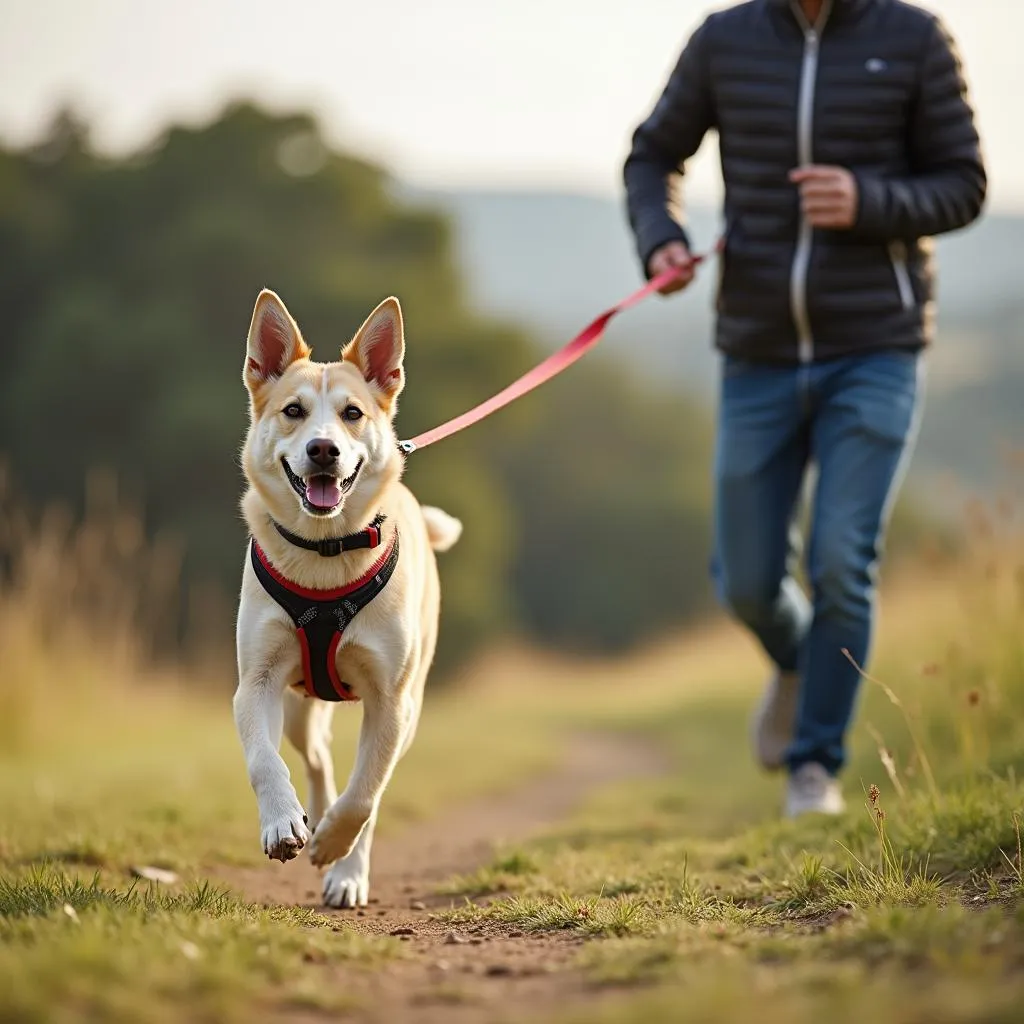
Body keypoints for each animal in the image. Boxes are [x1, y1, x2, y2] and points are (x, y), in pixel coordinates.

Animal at [232, 288, 460, 905]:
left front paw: (337, 852)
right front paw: (282, 823)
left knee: (366, 788)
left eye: (353, 414)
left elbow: (365, 796)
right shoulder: (255, 682)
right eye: (293, 411)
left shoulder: (391, 701)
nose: (323, 450)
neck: (327, 553)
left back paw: (342, 862)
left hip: (409, 708)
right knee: (314, 759)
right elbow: (263, 761)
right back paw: (309, 814)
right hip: (297, 707)